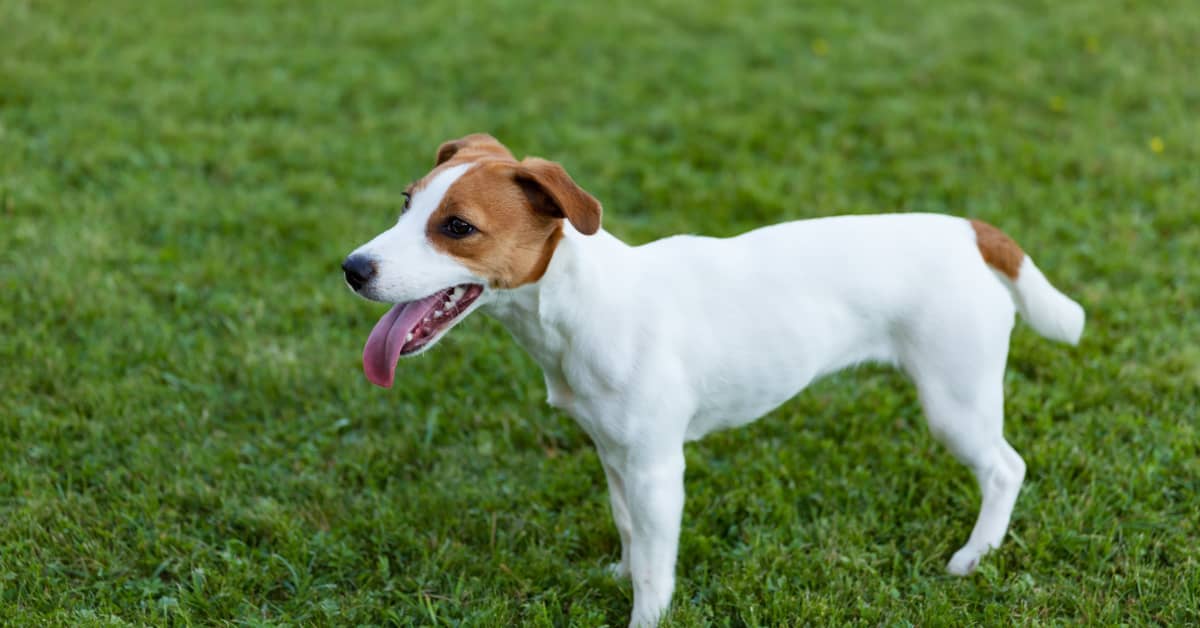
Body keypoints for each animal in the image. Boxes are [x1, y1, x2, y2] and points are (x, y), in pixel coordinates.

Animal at [340, 135, 1089, 624]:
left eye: (457, 227)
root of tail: (968, 232)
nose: (352, 268)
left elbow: (655, 567)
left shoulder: (656, 470)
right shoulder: (616, 456)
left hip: (954, 400)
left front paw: (644, 614)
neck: (585, 303)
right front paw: (618, 571)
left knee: (1006, 468)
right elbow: (629, 532)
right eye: (404, 204)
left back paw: (974, 555)